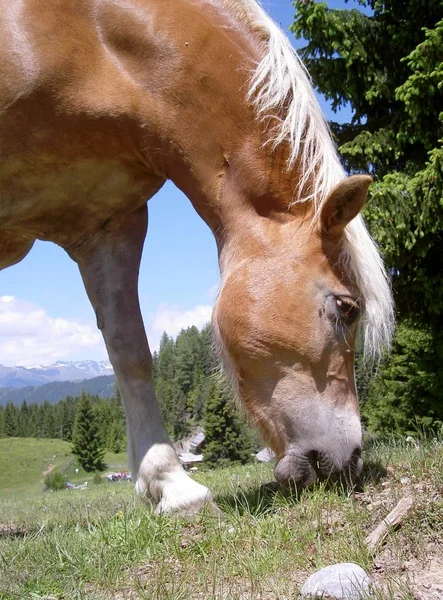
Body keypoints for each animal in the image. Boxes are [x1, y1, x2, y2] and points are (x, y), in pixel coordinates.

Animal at [0, 0, 396, 512]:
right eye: (347, 308)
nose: (351, 460)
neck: (94, 41)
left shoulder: (108, 221)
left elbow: (130, 351)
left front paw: (170, 484)